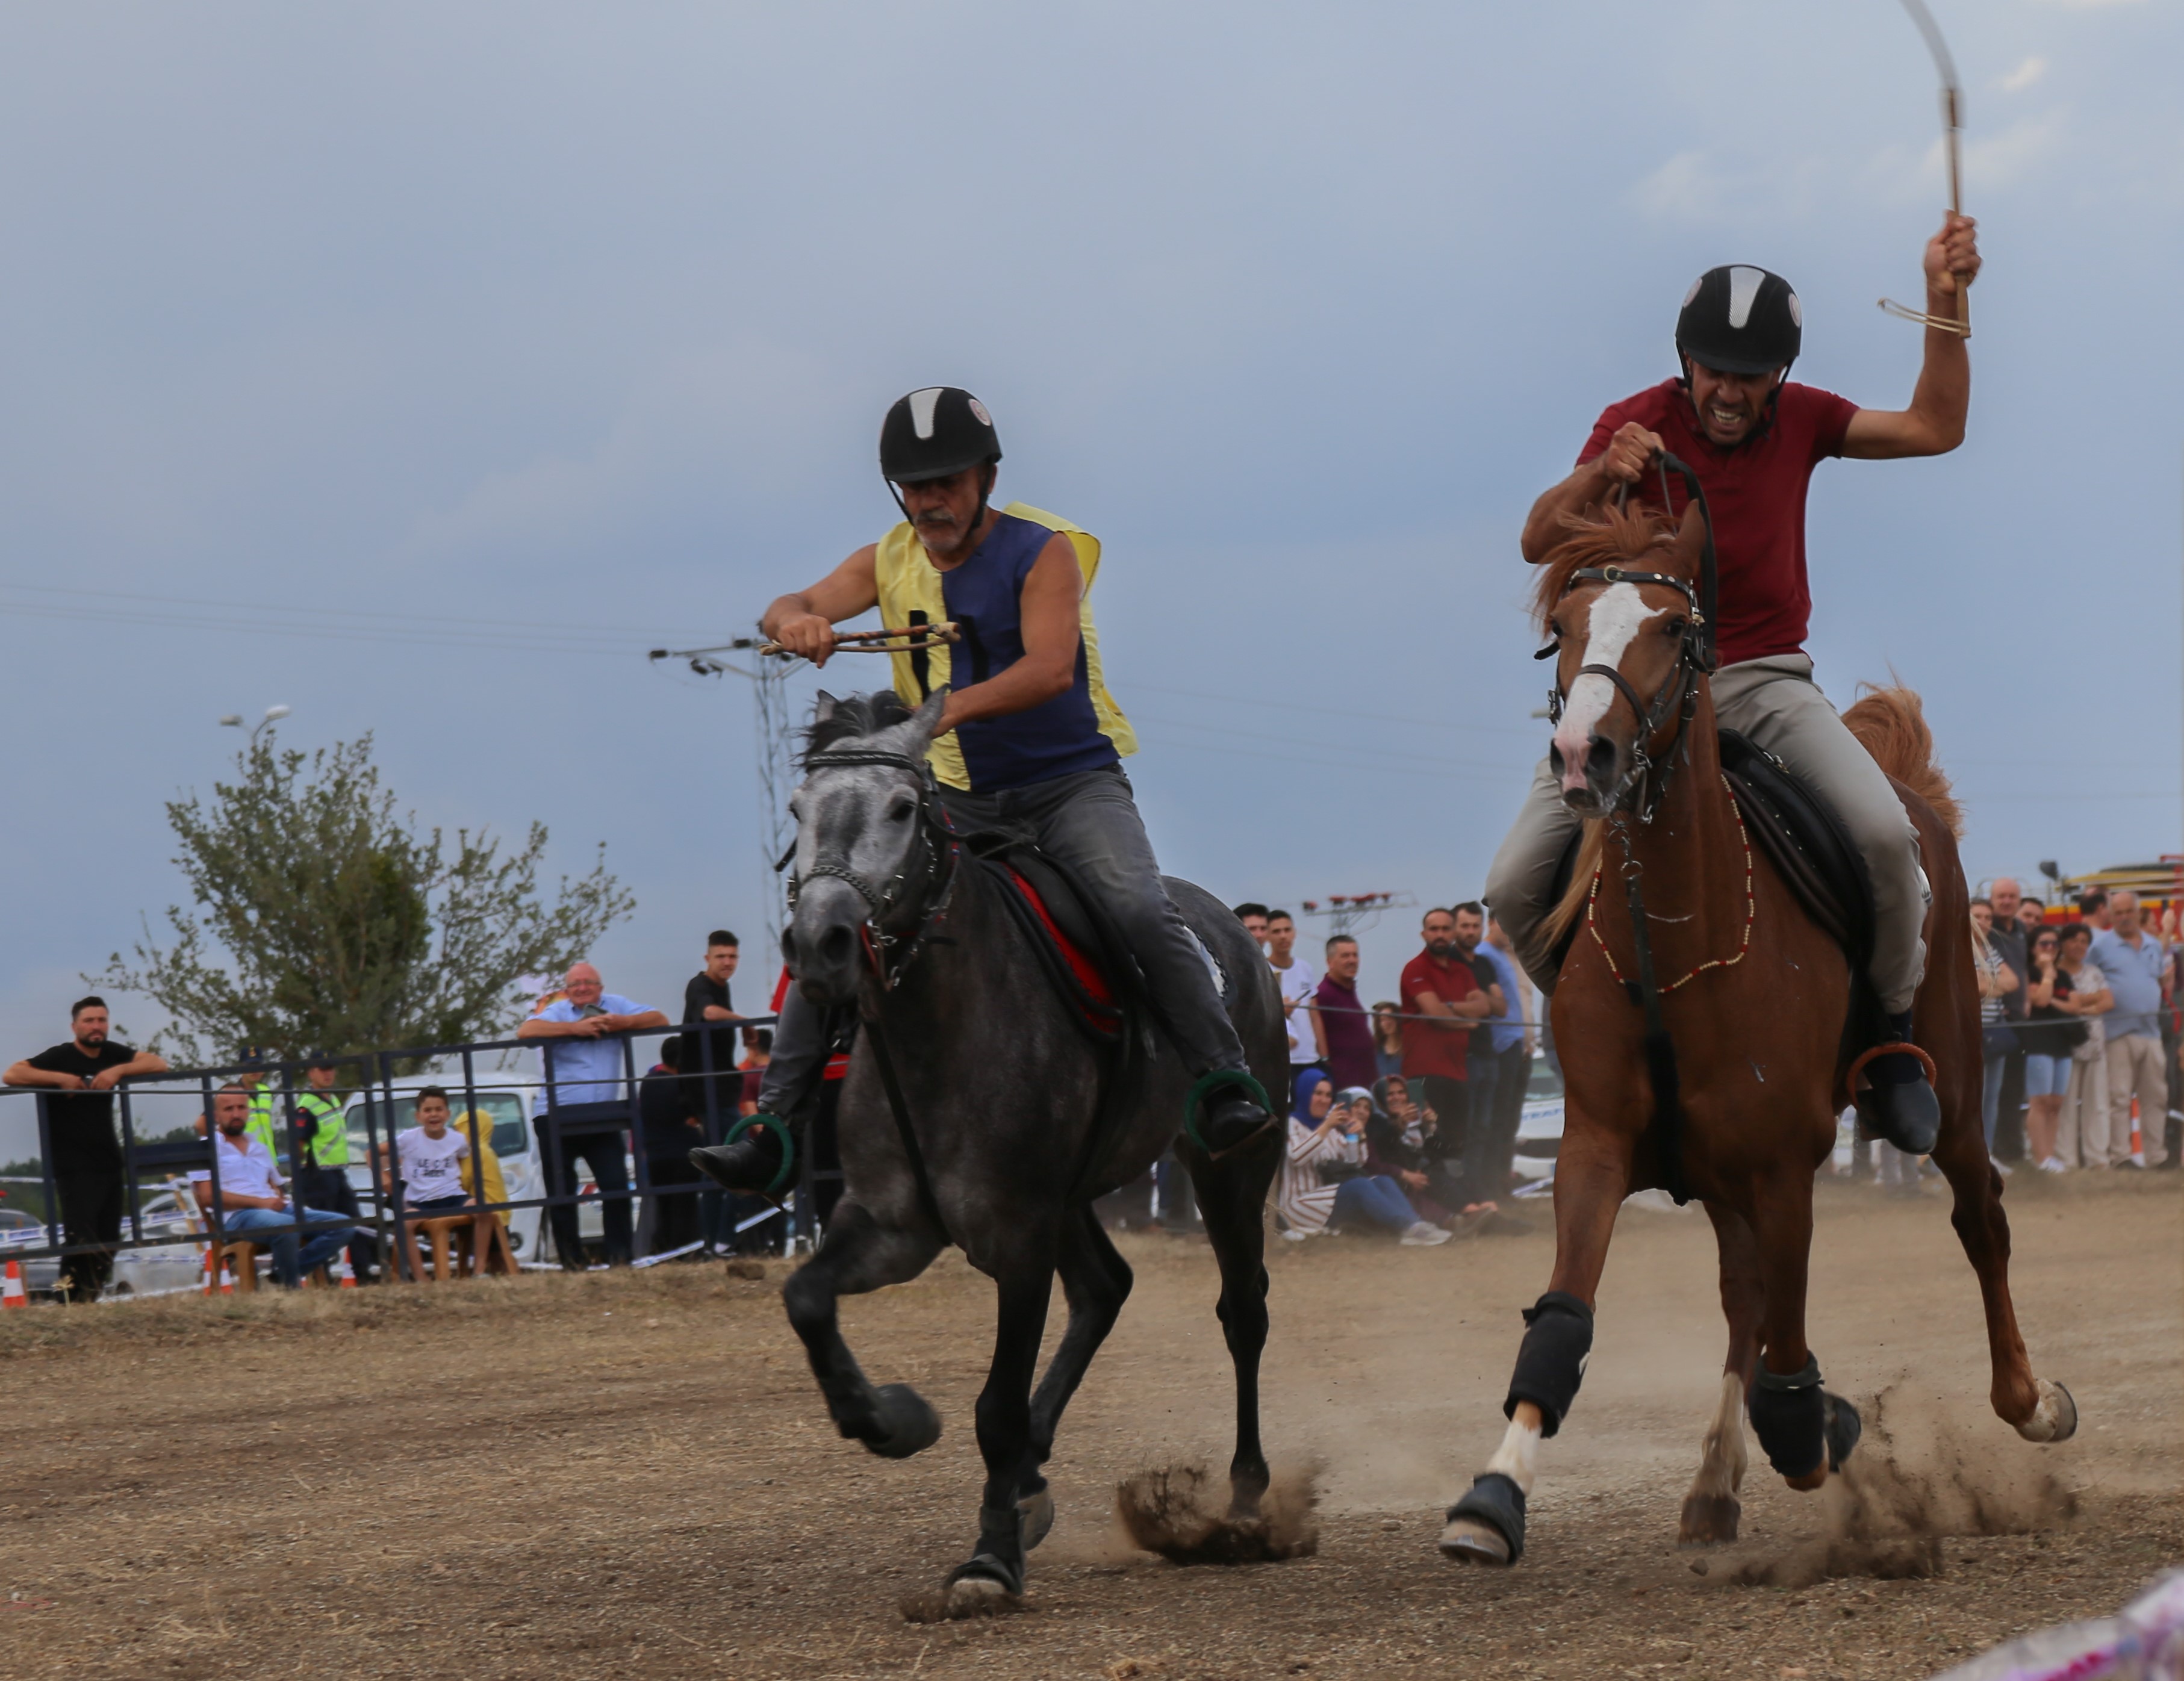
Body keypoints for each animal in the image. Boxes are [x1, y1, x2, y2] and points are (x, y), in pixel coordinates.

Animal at [768, 685, 1284, 1606]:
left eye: (902, 808)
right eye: (799, 809)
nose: (820, 944)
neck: (938, 1031)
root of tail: (1240, 942)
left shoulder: (1017, 1235)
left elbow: (997, 1407)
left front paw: (987, 1558)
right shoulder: (893, 1226)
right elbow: (807, 1299)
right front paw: (891, 1421)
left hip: (1229, 1169)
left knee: (1242, 1312)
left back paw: (1245, 1492)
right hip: (1074, 1199)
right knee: (1106, 1289)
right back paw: (1032, 1483)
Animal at [1441, 493, 2070, 1554]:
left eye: (1670, 627)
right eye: (1561, 630)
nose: (1581, 755)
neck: (1675, 936)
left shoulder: (1782, 1166)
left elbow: (1788, 1348)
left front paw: (1820, 1424)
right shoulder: (1598, 1145)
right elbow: (1569, 1312)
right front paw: (1493, 1492)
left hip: (1948, 1083)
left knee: (1976, 1215)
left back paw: (2024, 1403)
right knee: (1745, 1301)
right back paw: (1713, 1482)